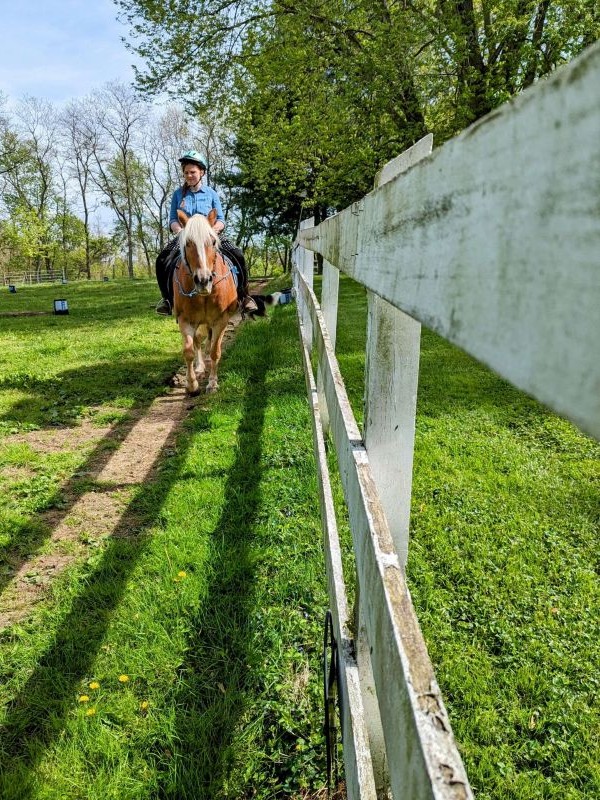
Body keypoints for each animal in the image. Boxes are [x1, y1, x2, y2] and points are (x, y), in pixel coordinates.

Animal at [172, 209, 239, 395]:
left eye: (213, 241)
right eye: (188, 243)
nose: (203, 280)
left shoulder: (221, 320)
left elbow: (215, 351)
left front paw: (213, 383)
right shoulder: (185, 320)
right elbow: (188, 351)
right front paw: (191, 384)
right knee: (197, 341)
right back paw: (200, 367)